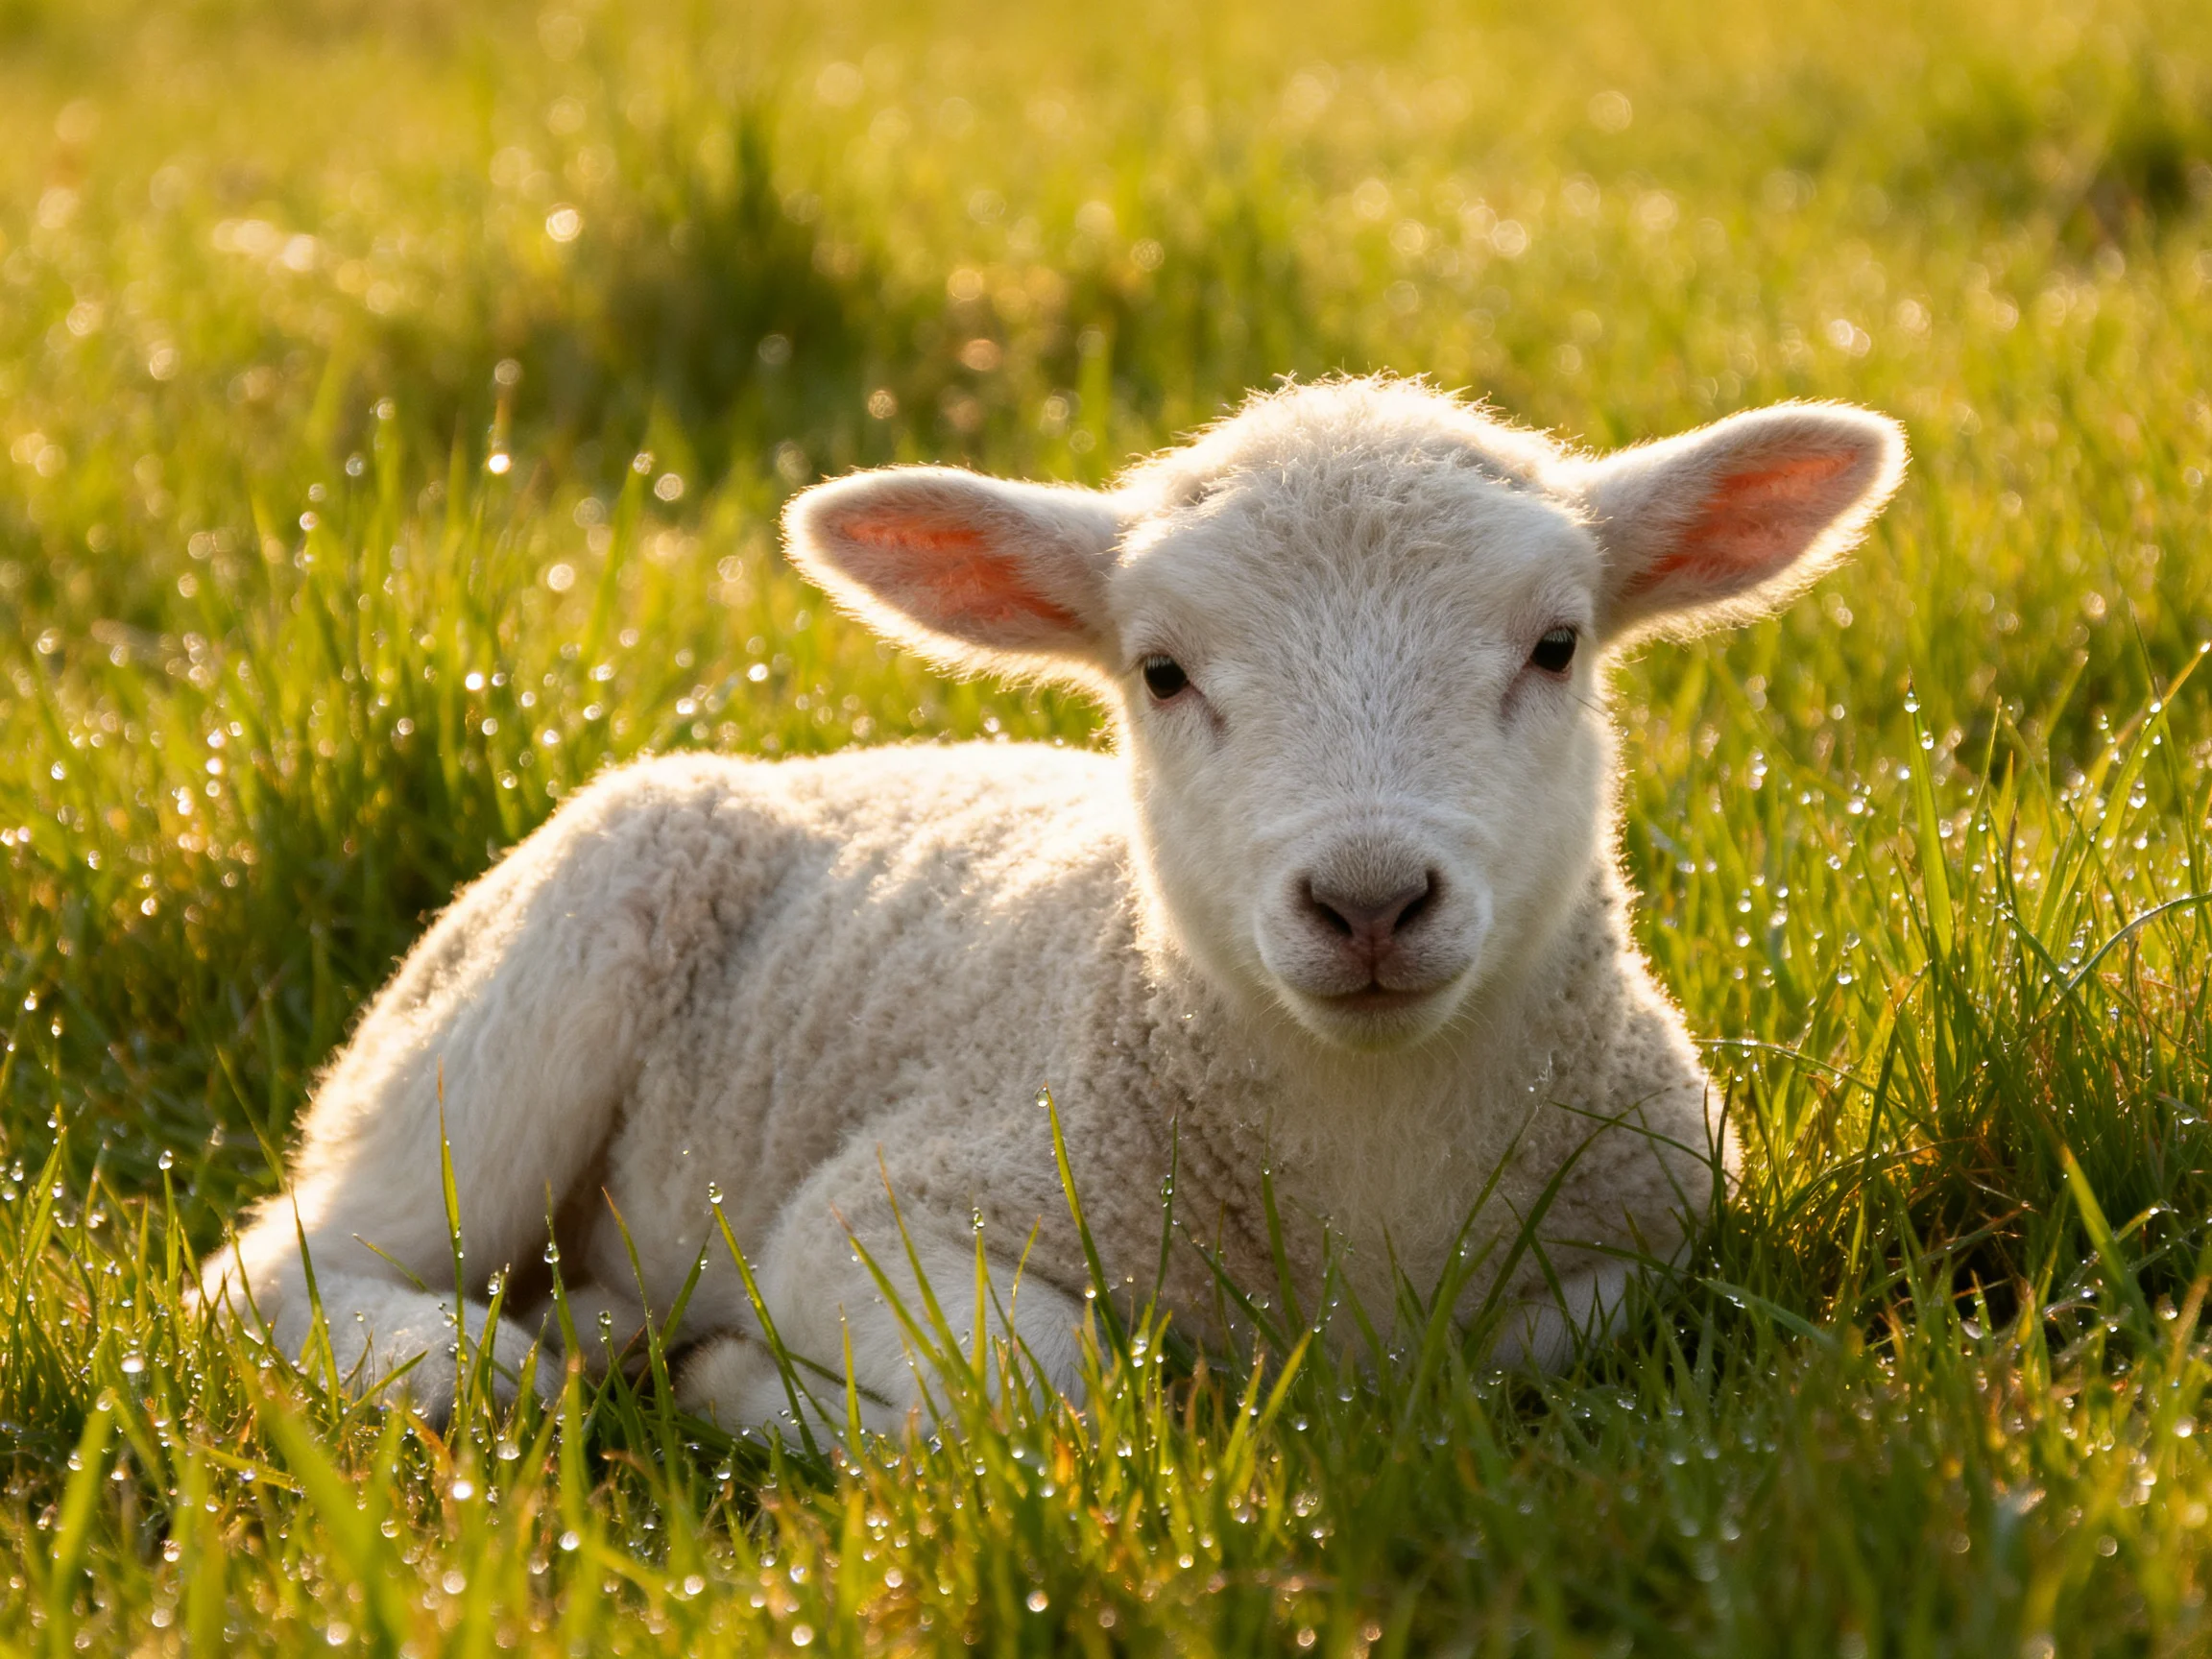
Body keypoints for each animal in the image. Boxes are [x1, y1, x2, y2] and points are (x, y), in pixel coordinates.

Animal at [204, 376, 1906, 1433]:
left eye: (1556, 646)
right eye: (1161, 672)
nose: (1368, 901)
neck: (1368, 1184)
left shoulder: (1667, 1234)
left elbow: (1529, 1356)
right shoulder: (876, 1211)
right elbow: (1048, 1395)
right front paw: (745, 1389)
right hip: (524, 990)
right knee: (281, 1265)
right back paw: (474, 1361)